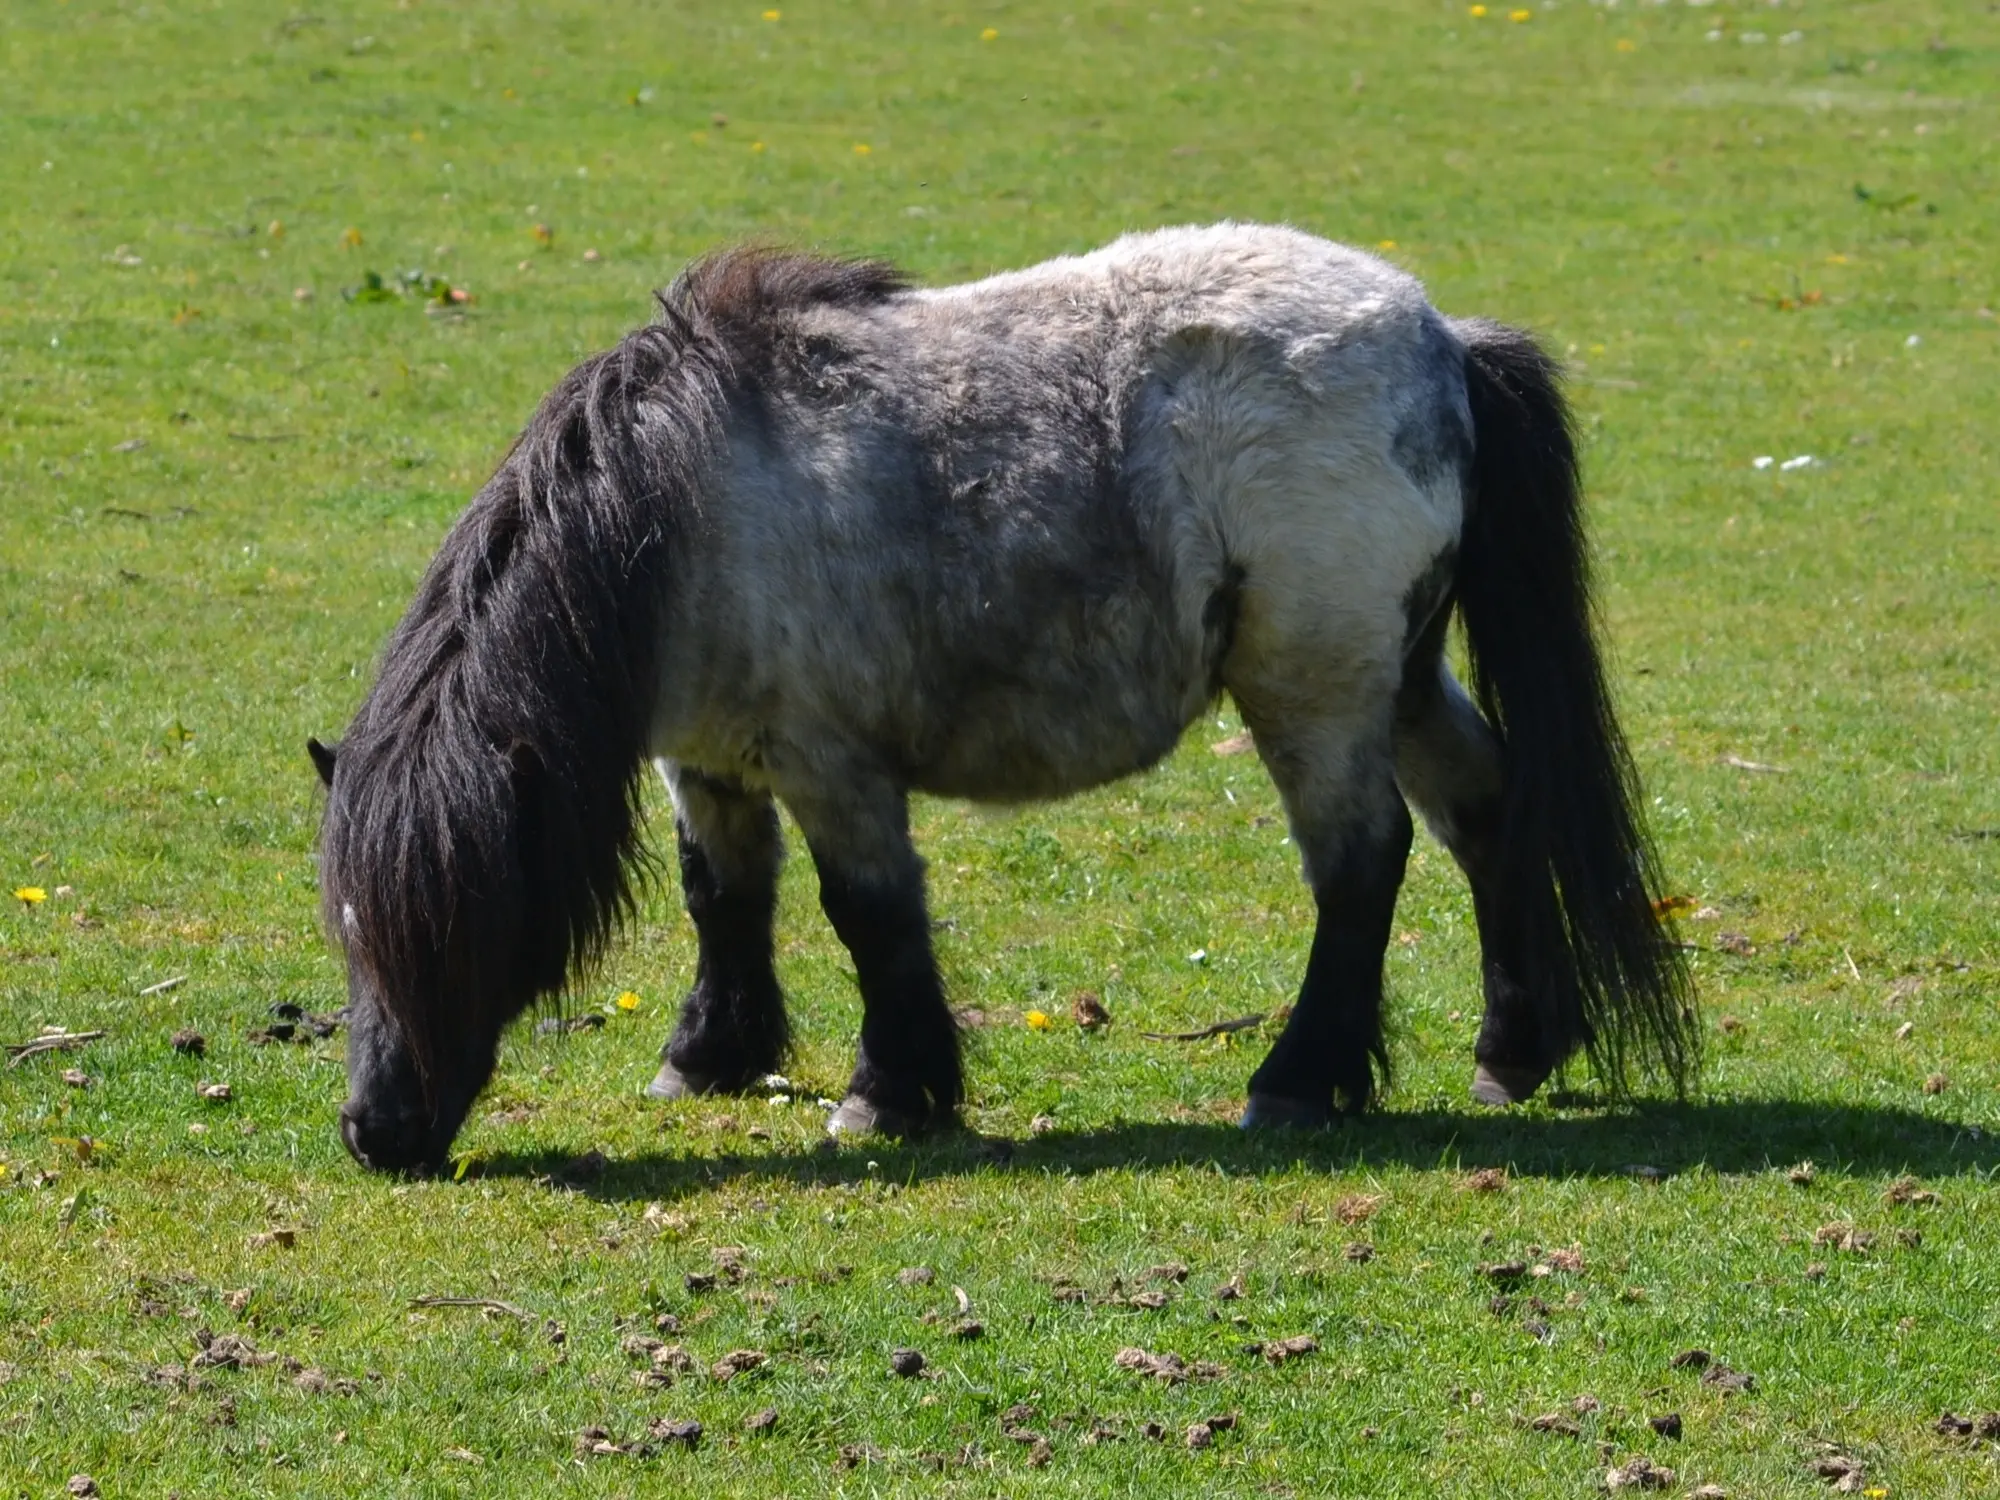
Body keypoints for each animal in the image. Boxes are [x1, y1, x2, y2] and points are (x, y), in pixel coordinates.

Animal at [304, 223, 1696, 1176]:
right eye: (350, 933)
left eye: (457, 925)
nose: (377, 1132)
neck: (680, 509)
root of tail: (1441, 339)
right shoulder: (704, 761)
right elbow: (725, 903)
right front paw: (708, 1057)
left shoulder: (830, 765)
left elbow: (867, 915)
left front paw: (890, 1093)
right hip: (1397, 678)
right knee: (1485, 813)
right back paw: (1512, 1049)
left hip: (1314, 688)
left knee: (1362, 860)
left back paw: (1298, 1080)